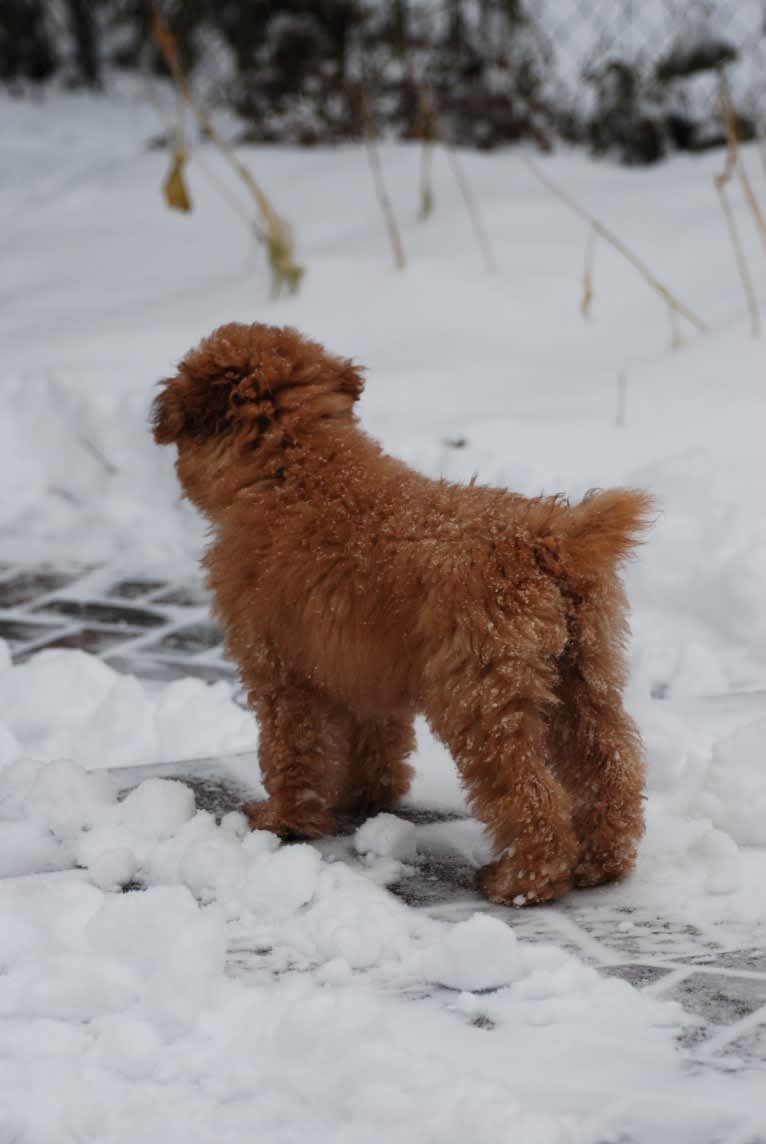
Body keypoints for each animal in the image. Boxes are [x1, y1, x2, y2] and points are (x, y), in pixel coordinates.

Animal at [154, 322, 653, 901]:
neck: (296, 467)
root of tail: (544, 541)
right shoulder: (361, 660)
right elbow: (377, 737)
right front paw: (367, 797)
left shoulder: (279, 669)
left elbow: (291, 750)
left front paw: (282, 821)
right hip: (583, 673)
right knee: (609, 765)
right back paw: (603, 862)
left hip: (481, 693)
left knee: (527, 789)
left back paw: (524, 879)